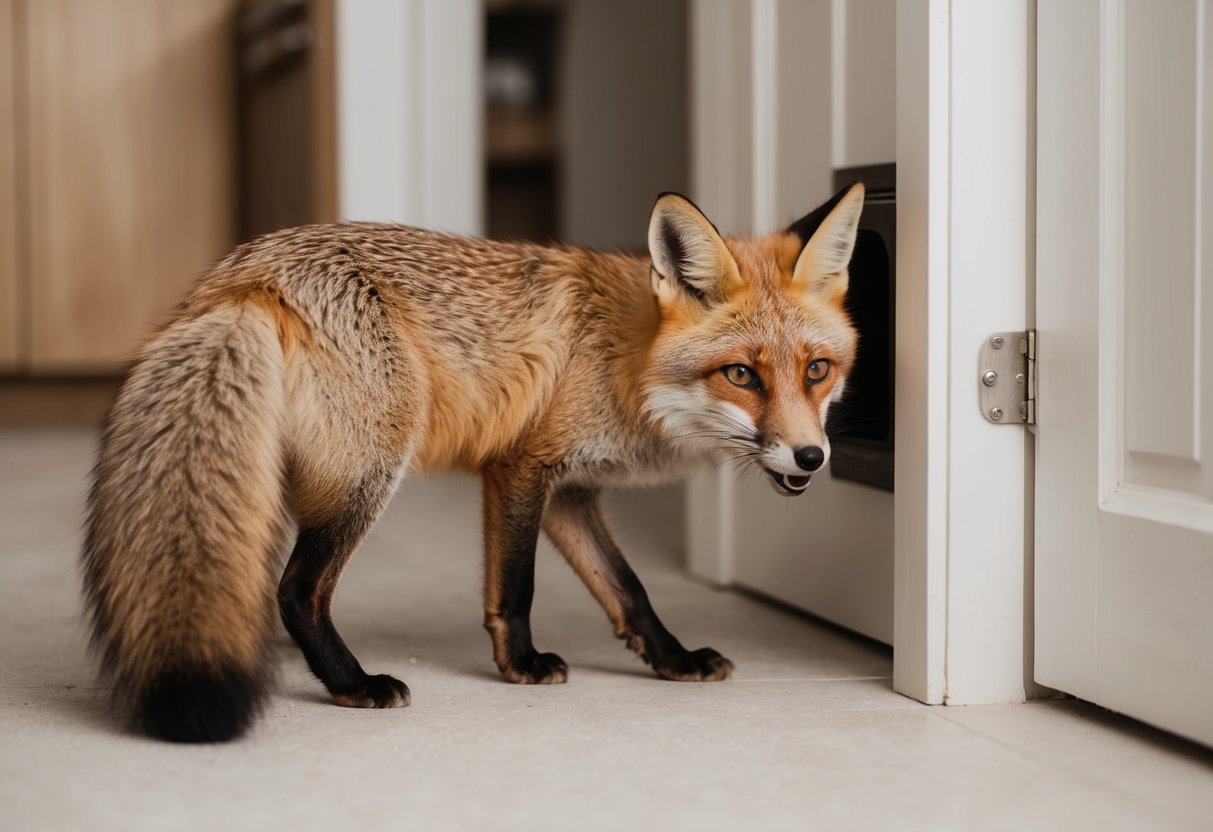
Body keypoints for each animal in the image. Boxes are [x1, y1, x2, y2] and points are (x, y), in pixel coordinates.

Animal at [81, 181, 865, 743]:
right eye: (742, 376)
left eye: (817, 370)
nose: (811, 455)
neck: (622, 359)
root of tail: (243, 276)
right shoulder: (519, 469)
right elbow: (514, 590)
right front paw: (520, 667)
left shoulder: (573, 492)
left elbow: (629, 590)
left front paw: (673, 661)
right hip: (370, 473)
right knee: (297, 590)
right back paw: (353, 685)